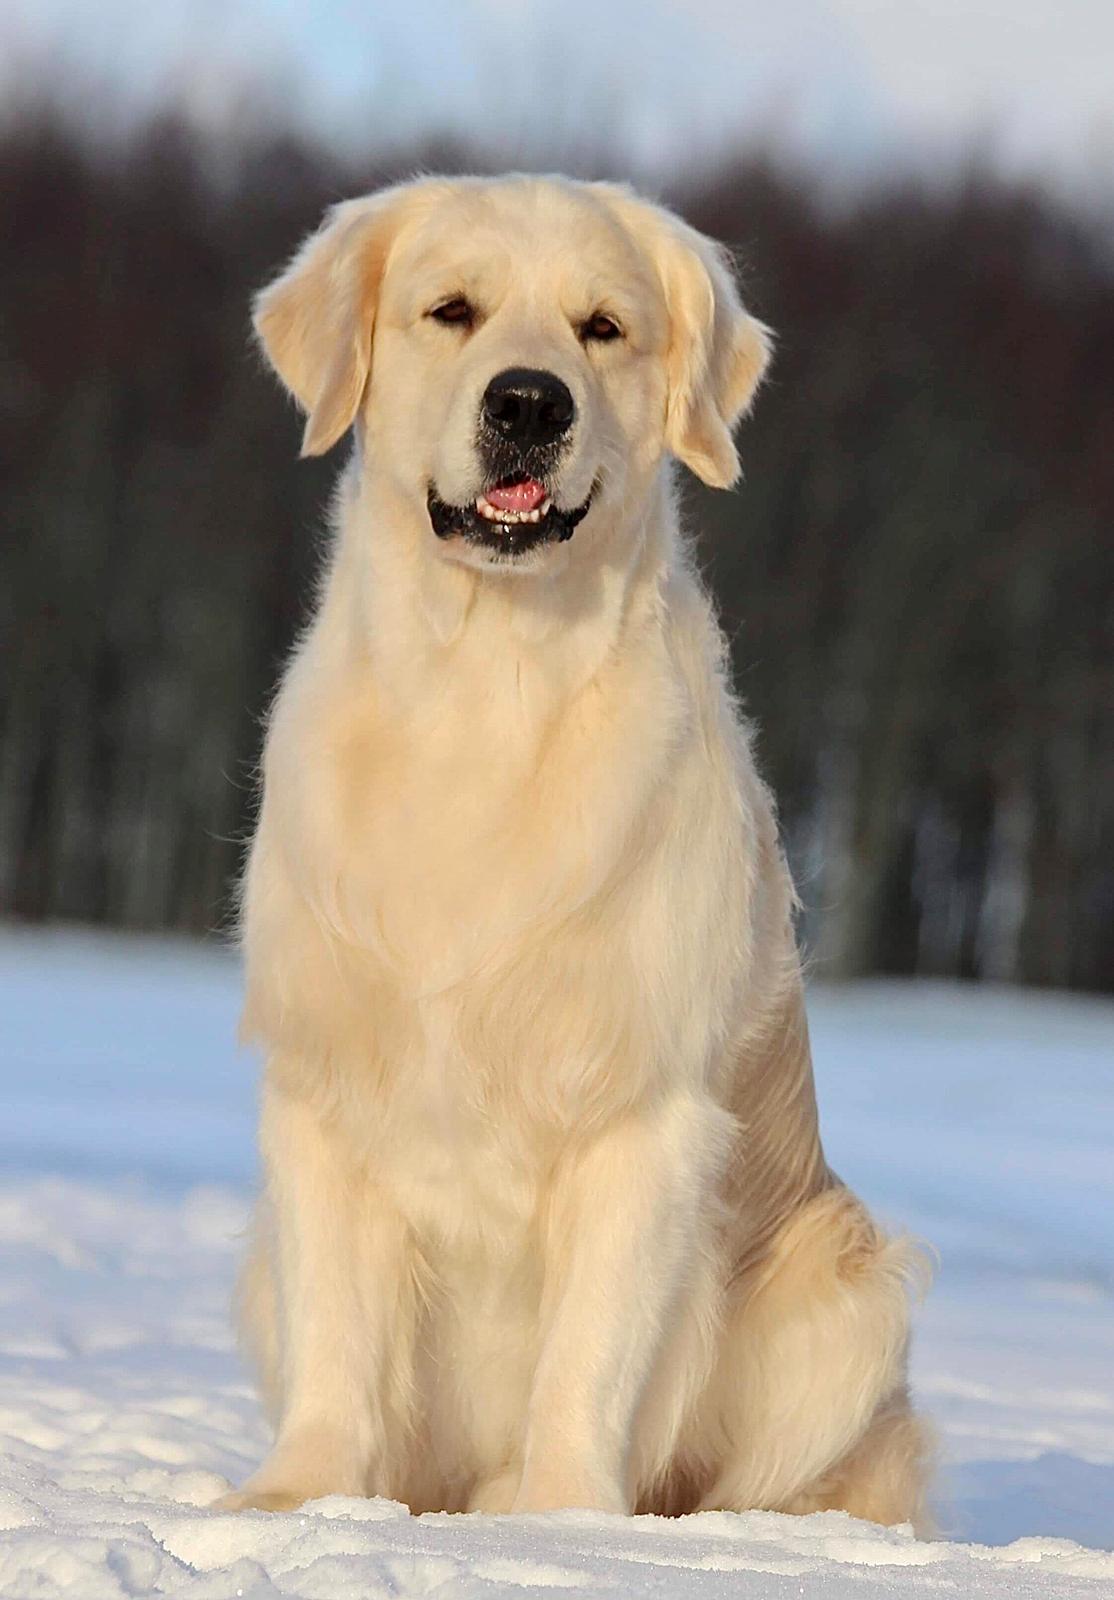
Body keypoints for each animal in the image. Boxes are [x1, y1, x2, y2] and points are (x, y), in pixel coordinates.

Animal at [219, 175, 928, 1523]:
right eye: (451, 310)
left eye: (602, 328)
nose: (529, 402)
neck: (485, 689)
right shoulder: (323, 1086)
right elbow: (340, 1334)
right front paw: (301, 1495)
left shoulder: (641, 1113)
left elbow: (589, 1351)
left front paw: (556, 1513)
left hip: (845, 1295)